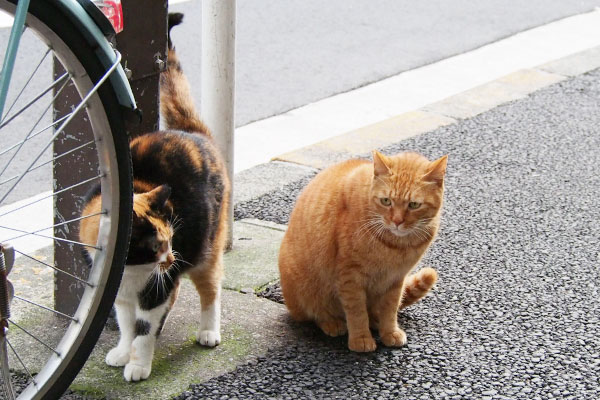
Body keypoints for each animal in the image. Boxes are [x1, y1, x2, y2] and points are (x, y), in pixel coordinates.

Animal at [79, 12, 230, 382]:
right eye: (157, 244)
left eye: (170, 239)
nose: (172, 258)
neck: (132, 271)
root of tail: (191, 131)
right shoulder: (119, 294)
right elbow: (125, 323)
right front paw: (123, 352)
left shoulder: (157, 289)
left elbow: (145, 329)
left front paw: (138, 365)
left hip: (207, 249)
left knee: (211, 289)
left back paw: (209, 331)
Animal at [278, 152, 446, 352]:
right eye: (386, 201)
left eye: (414, 205)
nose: (397, 221)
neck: (396, 246)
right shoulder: (350, 278)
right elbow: (357, 312)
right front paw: (361, 339)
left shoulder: (395, 279)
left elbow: (390, 309)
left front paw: (389, 332)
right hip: (307, 289)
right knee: (314, 313)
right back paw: (332, 322)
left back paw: (375, 320)